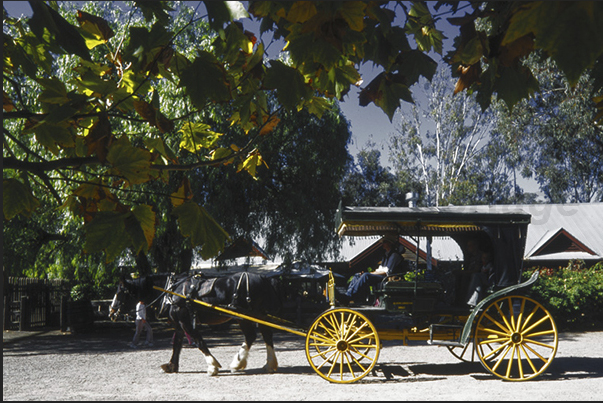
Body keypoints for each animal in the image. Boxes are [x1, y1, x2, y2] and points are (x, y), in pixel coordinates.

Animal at [109, 274, 282, 378]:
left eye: (120, 292)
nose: (111, 311)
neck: (171, 291)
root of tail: (263, 278)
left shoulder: (186, 322)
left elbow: (199, 342)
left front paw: (212, 366)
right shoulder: (179, 325)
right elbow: (177, 345)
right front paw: (171, 365)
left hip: (244, 316)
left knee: (252, 335)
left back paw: (238, 363)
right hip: (257, 315)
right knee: (265, 334)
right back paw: (268, 364)